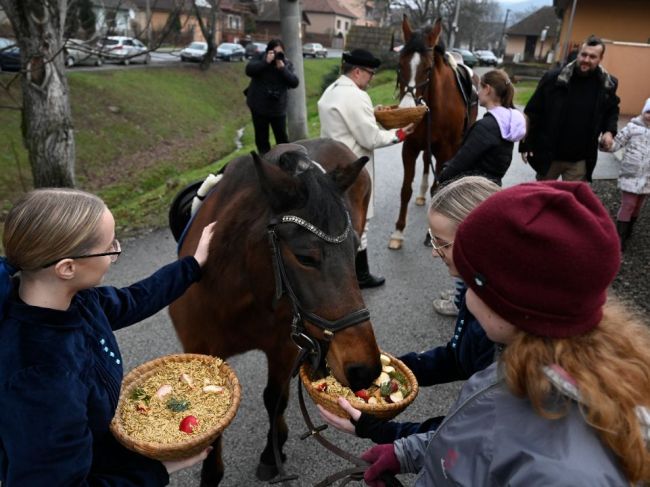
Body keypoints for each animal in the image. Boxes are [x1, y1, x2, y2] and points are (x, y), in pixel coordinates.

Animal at [168, 139, 380, 486]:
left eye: (352, 249)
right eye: (305, 257)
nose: (365, 368)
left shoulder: (283, 346)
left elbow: (275, 397)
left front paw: (272, 451)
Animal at [384, 16, 480, 250]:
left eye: (427, 69)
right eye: (399, 66)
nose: (406, 109)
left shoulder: (446, 150)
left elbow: (438, 188)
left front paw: (430, 235)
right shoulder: (410, 148)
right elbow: (405, 190)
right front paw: (398, 232)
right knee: (427, 160)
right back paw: (421, 194)